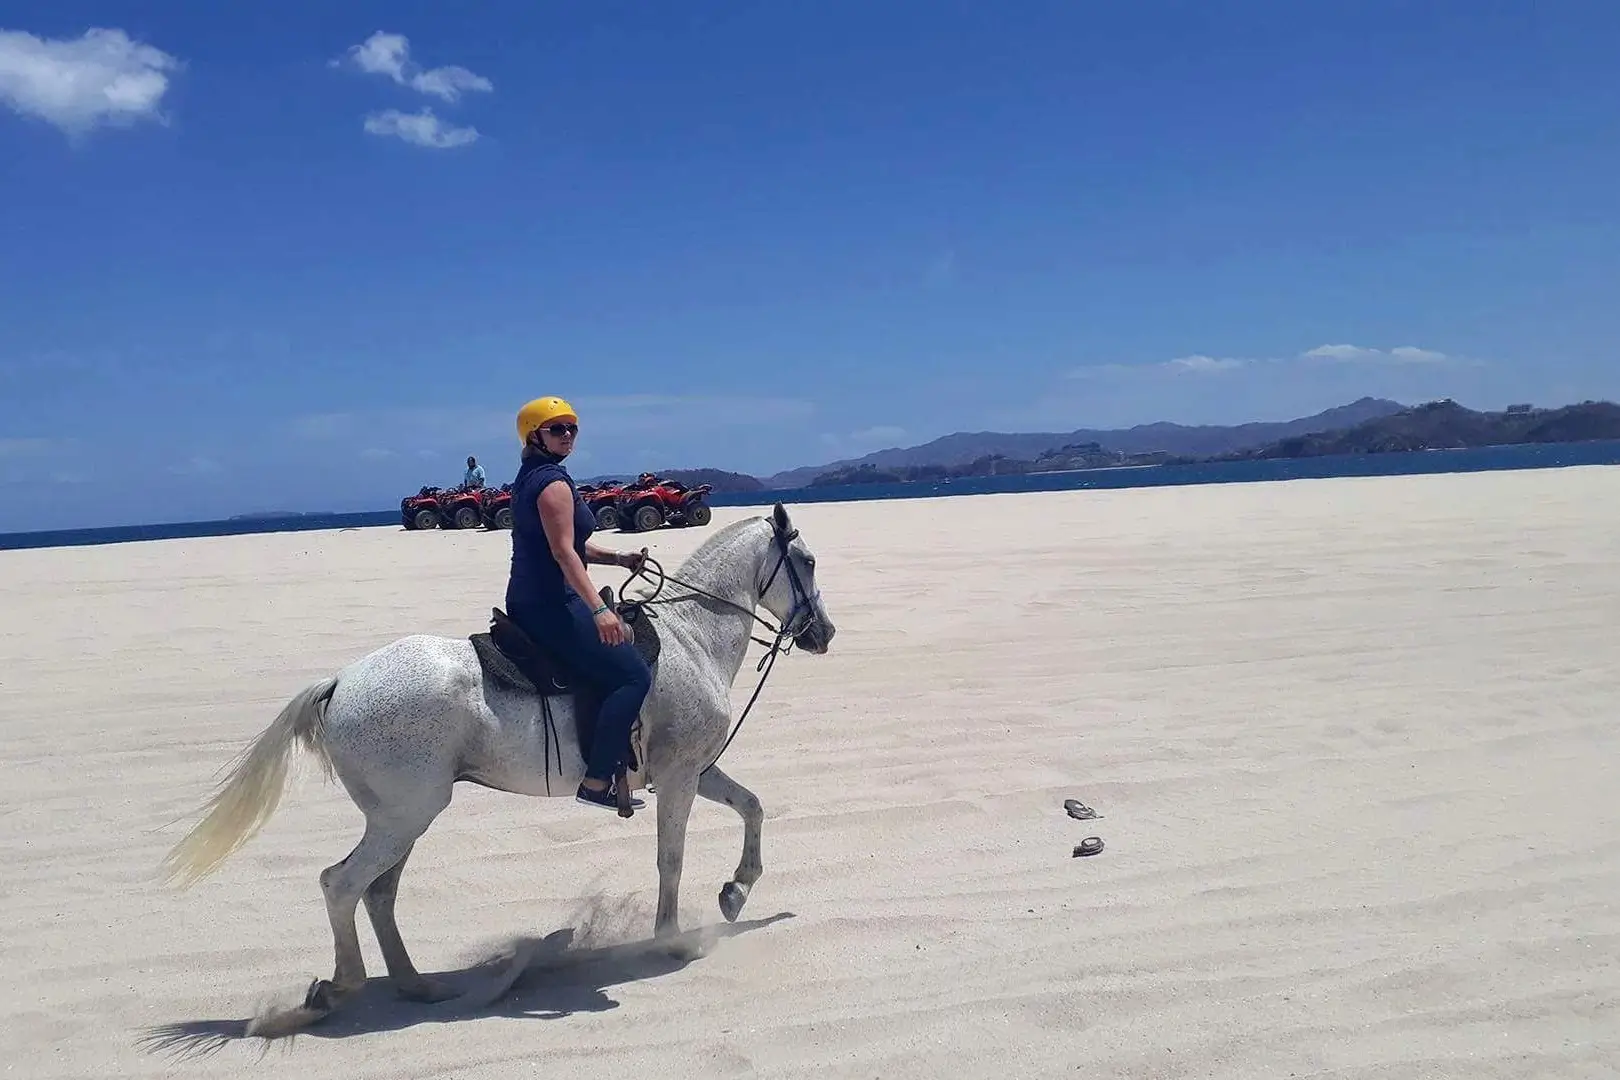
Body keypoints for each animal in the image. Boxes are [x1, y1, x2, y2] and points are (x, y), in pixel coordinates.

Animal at [157, 505, 835, 1029]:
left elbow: (753, 806)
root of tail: (342, 681)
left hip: (402, 817)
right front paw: (672, 939)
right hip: (406, 815)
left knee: (379, 892)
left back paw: (417, 984)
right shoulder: (677, 779)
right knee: (342, 884)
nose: (823, 633)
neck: (694, 636)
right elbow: (671, 857)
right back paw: (342, 988)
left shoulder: (697, 769)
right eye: (806, 562)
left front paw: (736, 891)